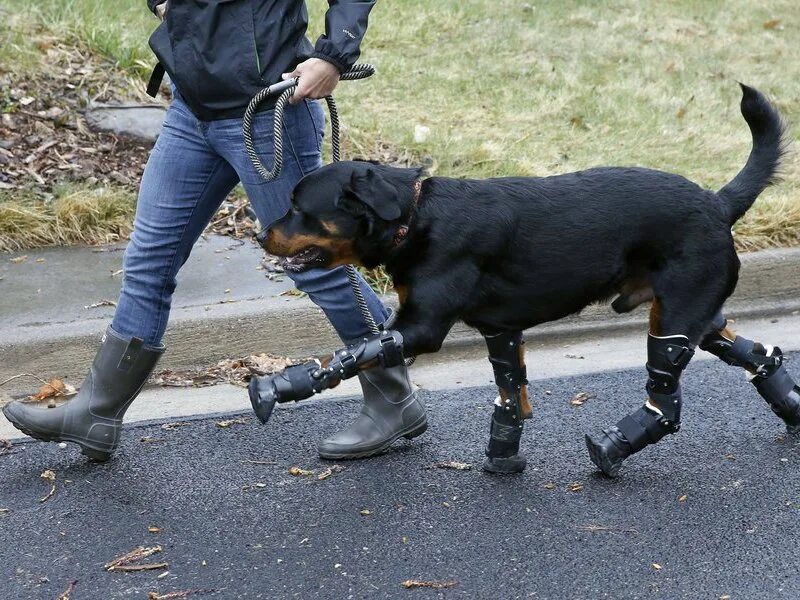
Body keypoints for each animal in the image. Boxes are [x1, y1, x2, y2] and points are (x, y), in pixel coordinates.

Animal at [252, 85, 800, 478]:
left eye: (300, 208)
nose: (259, 233)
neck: (415, 217)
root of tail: (717, 202)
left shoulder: (420, 327)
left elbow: (353, 353)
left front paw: (278, 386)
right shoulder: (500, 328)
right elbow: (510, 395)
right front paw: (503, 456)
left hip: (675, 318)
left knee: (666, 401)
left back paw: (610, 449)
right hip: (692, 315)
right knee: (756, 353)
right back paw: (792, 408)